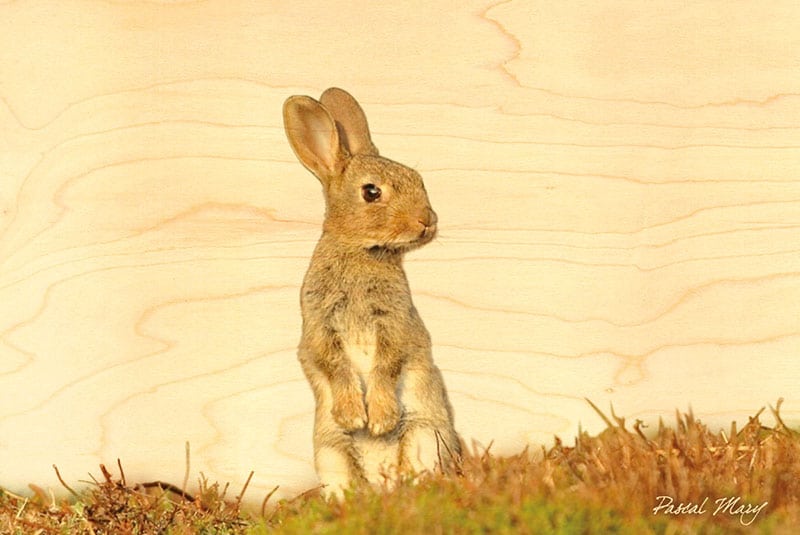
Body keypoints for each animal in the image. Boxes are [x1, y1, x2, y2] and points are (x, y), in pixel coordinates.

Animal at [282, 87, 461, 495]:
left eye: (417, 178)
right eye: (371, 191)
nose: (427, 221)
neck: (361, 251)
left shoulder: (394, 321)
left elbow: (386, 364)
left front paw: (378, 420)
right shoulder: (320, 323)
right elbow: (335, 365)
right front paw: (354, 416)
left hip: (425, 436)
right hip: (329, 452)